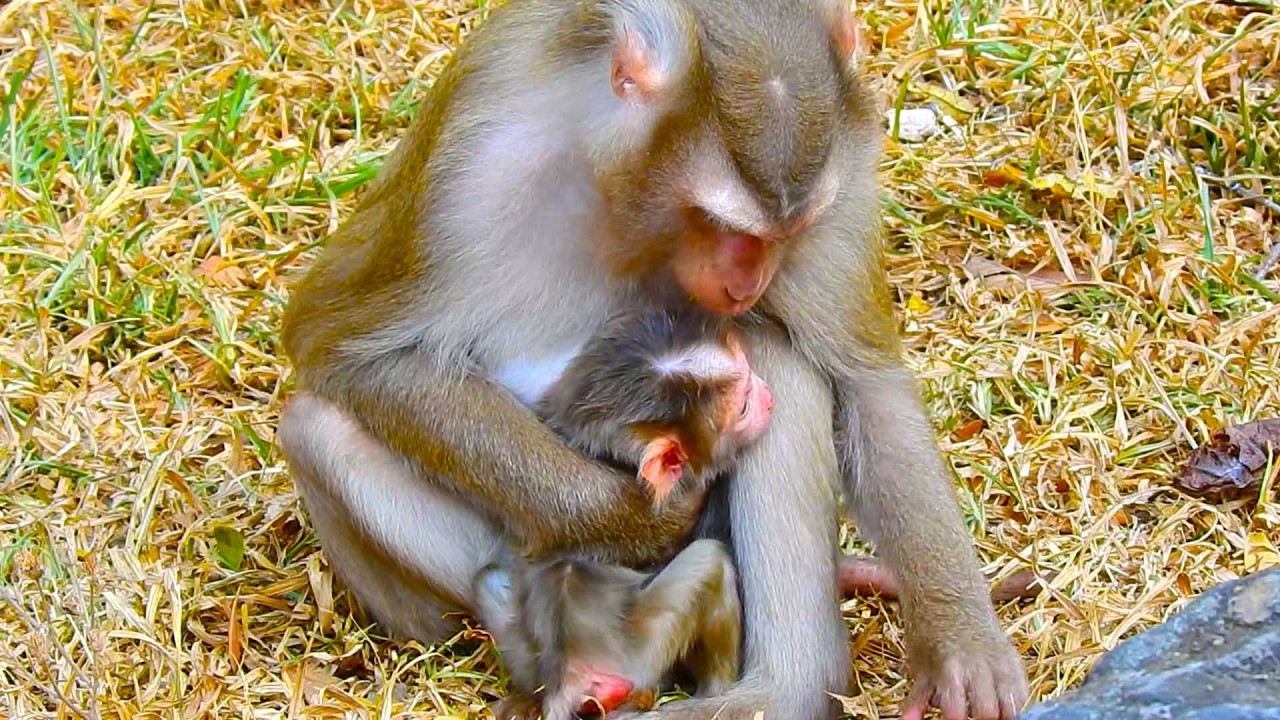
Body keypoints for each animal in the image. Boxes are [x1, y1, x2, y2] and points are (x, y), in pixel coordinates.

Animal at [275, 0, 1029, 718]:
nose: (747, 282)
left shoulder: (845, 173)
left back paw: (781, 689)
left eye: (788, 231)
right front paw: (636, 519)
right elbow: (344, 347)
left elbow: (865, 381)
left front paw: (960, 640)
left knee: (775, 352)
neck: (624, 193)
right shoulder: (471, 165)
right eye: (720, 223)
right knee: (315, 427)